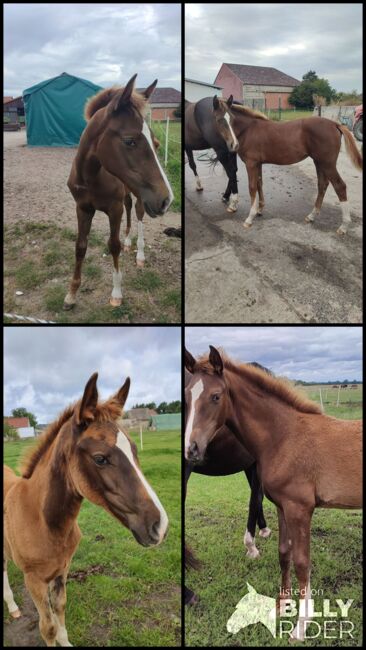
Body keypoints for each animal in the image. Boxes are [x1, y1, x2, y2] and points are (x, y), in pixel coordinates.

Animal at [3, 372, 169, 644]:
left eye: (135, 450)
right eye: (100, 458)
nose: (160, 526)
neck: (44, 522)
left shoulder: (62, 570)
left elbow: (60, 608)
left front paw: (65, 640)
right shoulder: (34, 581)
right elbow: (47, 627)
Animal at [63, 74, 174, 308]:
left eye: (157, 144)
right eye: (129, 141)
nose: (167, 199)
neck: (90, 177)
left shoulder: (114, 209)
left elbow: (113, 245)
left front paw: (116, 293)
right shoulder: (82, 208)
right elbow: (80, 246)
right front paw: (72, 293)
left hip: (142, 196)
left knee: (138, 214)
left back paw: (139, 253)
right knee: (130, 207)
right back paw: (129, 242)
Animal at [229, 105, 364, 237]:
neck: (249, 129)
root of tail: (335, 124)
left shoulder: (251, 163)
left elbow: (252, 187)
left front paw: (249, 218)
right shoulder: (258, 164)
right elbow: (259, 184)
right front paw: (259, 209)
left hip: (328, 164)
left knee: (339, 186)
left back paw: (344, 226)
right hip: (319, 163)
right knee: (322, 185)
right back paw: (311, 216)